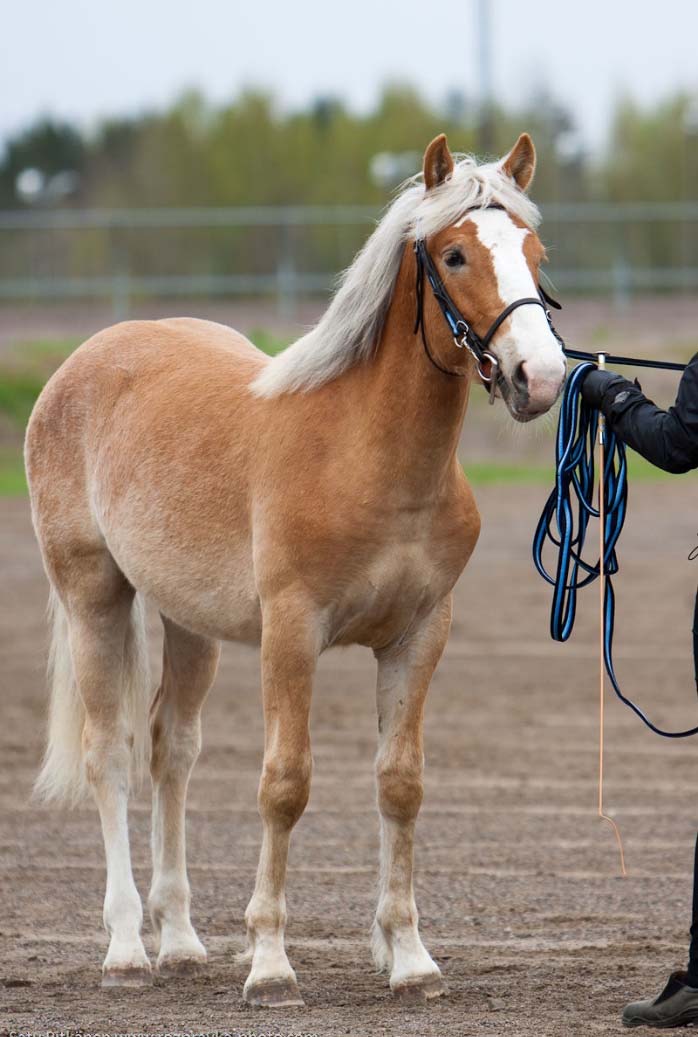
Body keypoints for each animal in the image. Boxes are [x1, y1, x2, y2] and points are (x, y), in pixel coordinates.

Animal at [24, 129, 564, 1003]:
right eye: (454, 255)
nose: (539, 378)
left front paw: (410, 958)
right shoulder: (291, 631)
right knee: (109, 754)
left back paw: (181, 941)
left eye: (534, 252)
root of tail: (85, 359)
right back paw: (127, 950)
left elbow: (400, 783)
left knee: (172, 751)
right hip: (92, 597)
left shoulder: (419, 634)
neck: (367, 458)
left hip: (189, 623)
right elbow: (285, 784)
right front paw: (272, 963)